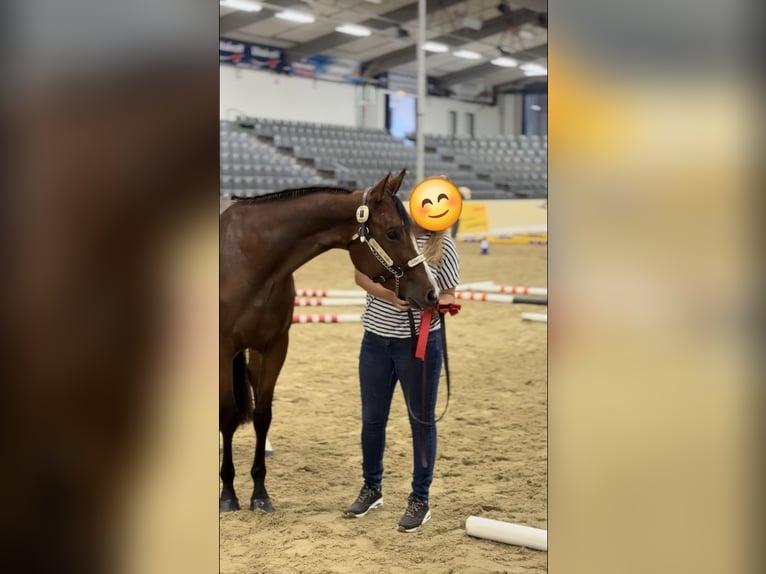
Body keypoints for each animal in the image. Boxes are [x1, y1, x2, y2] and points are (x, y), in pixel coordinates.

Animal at [219, 170, 439, 513]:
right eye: (393, 233)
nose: (430, 293)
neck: (245, 258)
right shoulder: (222, 348)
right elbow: (227, 416)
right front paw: (227, 494)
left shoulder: (273, 347)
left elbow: (262, 415)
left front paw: (260, 493)